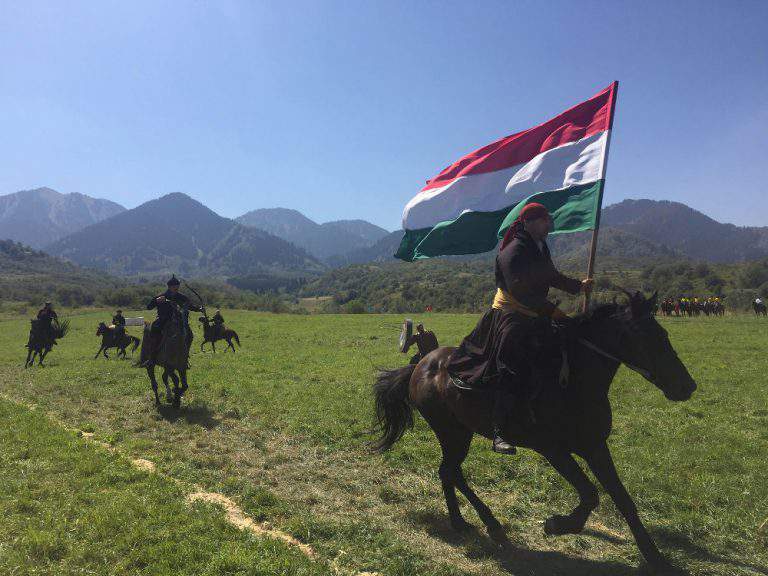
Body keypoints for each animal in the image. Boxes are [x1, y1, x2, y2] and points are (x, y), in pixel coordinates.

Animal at [376, 292, 700, 572]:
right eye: (649, 338)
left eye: (665, 335)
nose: (687, 386)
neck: (574, 382)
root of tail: (422, 364)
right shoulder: (553, 449)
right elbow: (590, 494)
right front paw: (557, 525)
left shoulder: (595, 446)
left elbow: (623, 500)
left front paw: (656, 558)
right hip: (452, 432)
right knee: (450, 471)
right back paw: (484, 523)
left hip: (459, 432)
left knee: (449, 472)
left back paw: (468, 522)